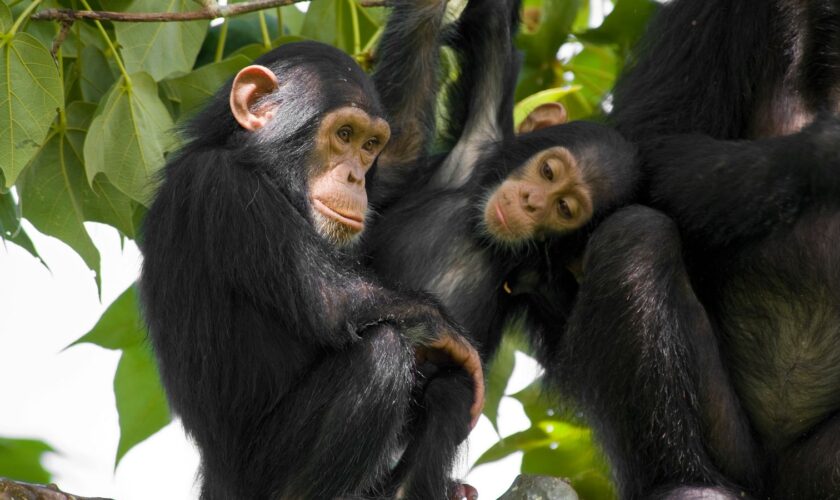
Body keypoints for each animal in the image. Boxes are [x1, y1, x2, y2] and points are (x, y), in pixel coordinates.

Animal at [138, 1, 486, 498]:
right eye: (343, 134)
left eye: (370, 144)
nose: (355, 177)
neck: (262, 168)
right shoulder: (223, 188)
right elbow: (330, 301)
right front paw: (453, 338)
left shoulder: (382, 182)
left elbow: (404, 149)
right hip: (257, 474)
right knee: (380, 353)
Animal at [366, 0, 636, 366]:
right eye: (548, 172)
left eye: (564, 207)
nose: (531, 201)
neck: (483, 236)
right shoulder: (481, 128)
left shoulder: (549, 282)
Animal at [544, 1, 840, 498]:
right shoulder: (717, 12)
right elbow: (653, 142)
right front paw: (826, 148)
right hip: (734, 449)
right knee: (636, 237)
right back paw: (684, 482)